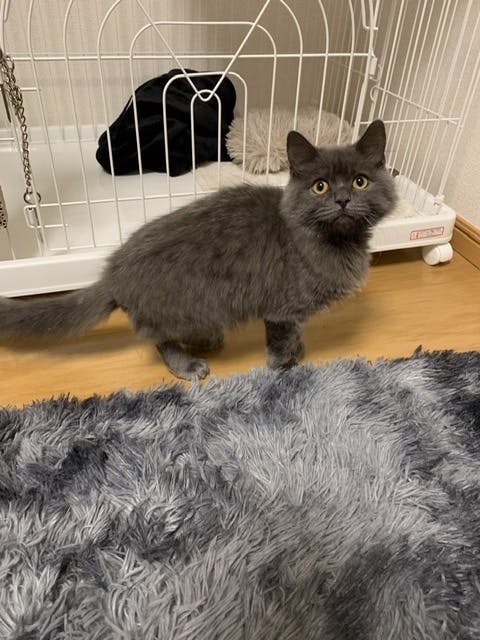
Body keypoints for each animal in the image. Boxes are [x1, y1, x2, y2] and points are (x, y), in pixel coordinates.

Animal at [0, 120, 396, 381]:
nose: (343, 199)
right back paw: (188, 364)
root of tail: (113, 273)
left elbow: (296, 334)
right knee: (159, 339)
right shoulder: (282, 309)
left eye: (360, 181)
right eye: (320, 186)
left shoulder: (293, 312)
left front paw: (300, 350)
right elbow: (281, 343)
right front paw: (288, 369)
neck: (332, 242)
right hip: (188, 306)